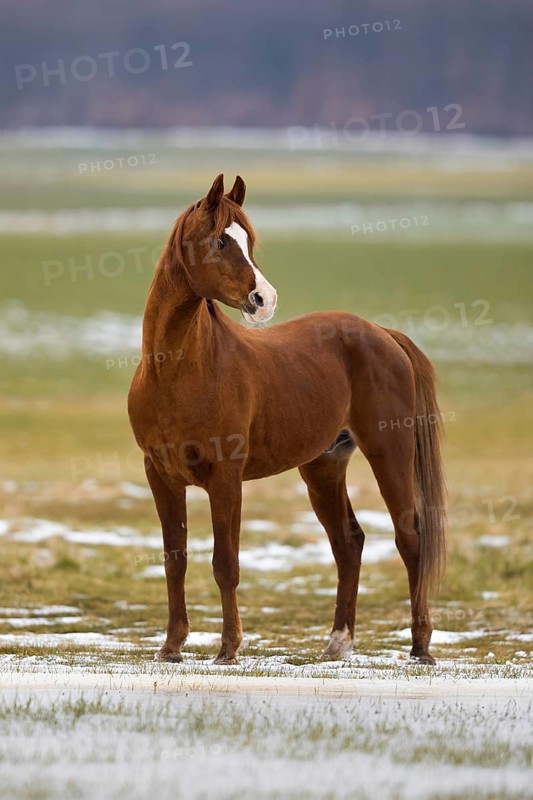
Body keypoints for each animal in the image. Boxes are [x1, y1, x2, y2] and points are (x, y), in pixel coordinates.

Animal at [128, 174, 446, 665]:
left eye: (248, 240)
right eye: (220, 240)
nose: (264, 299)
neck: (178, 371)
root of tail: (382, 334)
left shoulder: (226, 477)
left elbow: (225, 564)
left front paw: (228, 648)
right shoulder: (160, 475)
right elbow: (174, 558)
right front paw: (171, 647)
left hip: (388, 454)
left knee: (410, 539)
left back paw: (420, 647)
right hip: (323, 467)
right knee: (349, 544)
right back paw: (338, 643)